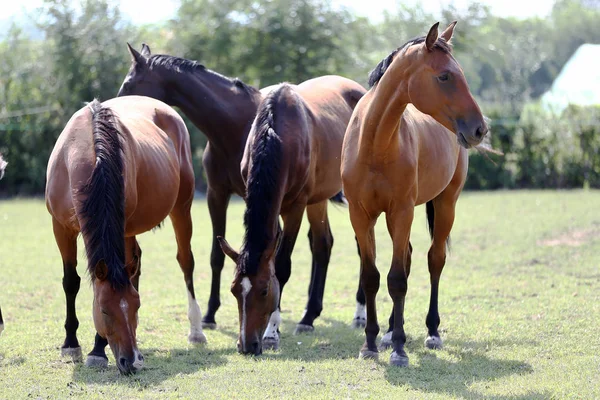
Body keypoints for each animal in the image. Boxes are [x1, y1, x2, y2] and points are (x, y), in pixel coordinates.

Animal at [44, 95, 204, 374]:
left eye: (136, 306)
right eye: (104, 311)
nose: (132, 361)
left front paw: (98, 350)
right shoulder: (60, 228)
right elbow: (70, 282)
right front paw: (71, 344)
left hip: (181, 208)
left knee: (186, 262)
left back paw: (196, 331)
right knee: (136, 266)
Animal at [217, 76, 366, 356]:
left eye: (264, 291)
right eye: (233, 290)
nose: (246, 345)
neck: (276, 135)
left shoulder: (295, 207)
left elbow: (282, 266)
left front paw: (271, 333)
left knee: (363, 249)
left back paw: (360, 314)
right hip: (318, 199)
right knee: (322, 245)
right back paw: (308, 318)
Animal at [340, 21, 490, 366]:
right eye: (445, 76)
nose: (480, 129)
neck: (375, 143)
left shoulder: (402, 210)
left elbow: (397, 279)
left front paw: (399, 349)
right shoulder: (361, 215)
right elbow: (371, 277)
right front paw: (370, 343)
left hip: (445, 204)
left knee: (435, 260)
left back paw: (431, 332)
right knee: (407, 257)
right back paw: (388, 333)